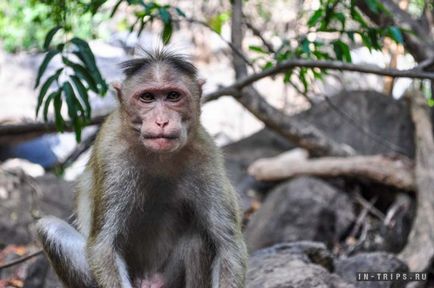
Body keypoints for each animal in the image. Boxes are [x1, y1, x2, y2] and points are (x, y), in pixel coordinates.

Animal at [36, 50, 248, 288]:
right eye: (147, 97)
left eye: (173, 96)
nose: (162, 121)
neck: (159, 157)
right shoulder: (113, 156)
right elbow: (103, 247)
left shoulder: (206, 155)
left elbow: (228, 245)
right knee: (50, 229)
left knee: (200, 240)